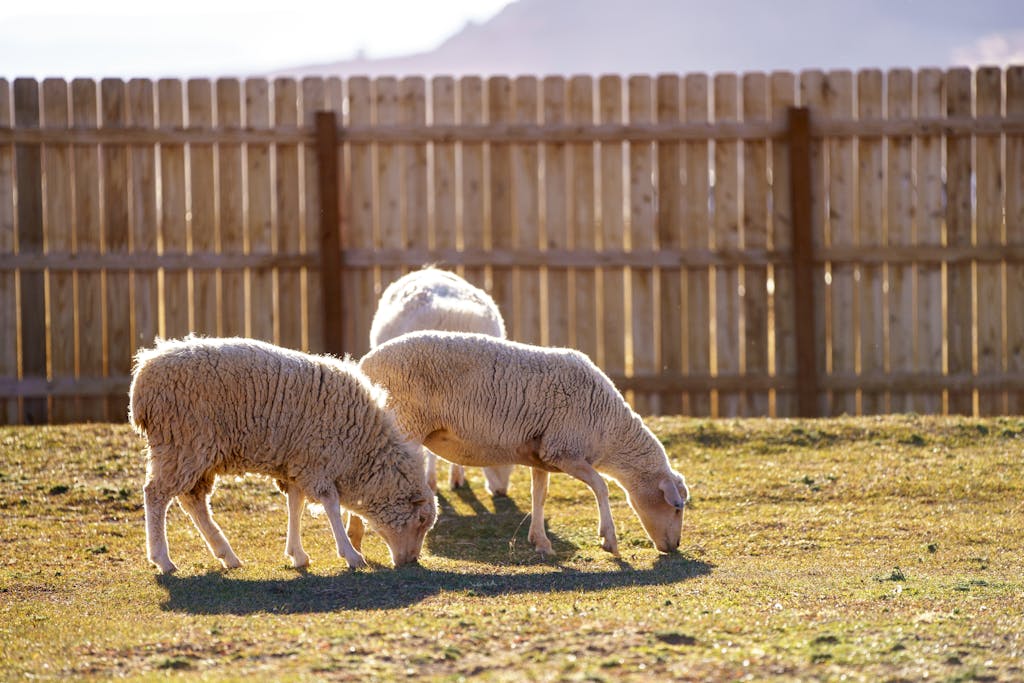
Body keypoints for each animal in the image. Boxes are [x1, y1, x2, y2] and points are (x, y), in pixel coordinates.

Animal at [128, 336, 436, 573]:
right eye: (421, 521)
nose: (411, 562)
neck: (361, 449)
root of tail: (142, 375)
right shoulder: (317, 460)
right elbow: (331, 504)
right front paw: (351, 554)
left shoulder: (297, 462)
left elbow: (295, 504)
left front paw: (297, 554)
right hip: (183, 443)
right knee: (155, 495)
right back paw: (163, 559)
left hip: (195, 452)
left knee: (193, 501)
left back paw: (227, 555)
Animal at [359, 331, 690, 557]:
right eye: (676, 508)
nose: (674, 546)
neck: (609, 428)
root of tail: (365, 363)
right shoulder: (564, 450)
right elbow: (601, 486)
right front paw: (608, 539)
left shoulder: (542, 456)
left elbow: (539, 496)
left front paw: (540, 541)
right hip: (404, 424)